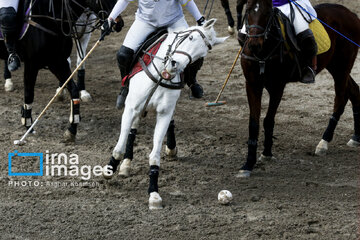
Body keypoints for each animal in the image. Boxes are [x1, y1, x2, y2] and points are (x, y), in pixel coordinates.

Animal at [102, 19, 225, 210]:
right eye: (190, 38)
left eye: (200, 55)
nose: (174, 65)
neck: (161, 74)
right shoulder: (131, 108)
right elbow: (120, 146)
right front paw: (110, 169)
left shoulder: (164, 113)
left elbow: (155, 155)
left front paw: (154, 194)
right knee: (133, 129)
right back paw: (126, 164)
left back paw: (171, 149)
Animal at [239, 0, 360, 177]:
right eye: (247, 11)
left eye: (267, 13)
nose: (254, 45)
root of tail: (351, 14)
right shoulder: (252, 84)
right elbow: (253, 124)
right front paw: (248, 164)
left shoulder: (277, 85)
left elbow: (268, 120)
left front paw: (267, 153)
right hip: (335, 66)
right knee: (354, 91)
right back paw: (356, 137)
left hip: (342, 67)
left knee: (340, 99)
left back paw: (323, 142)